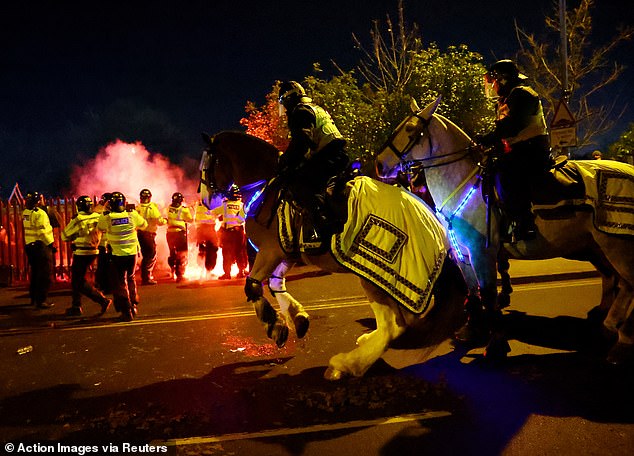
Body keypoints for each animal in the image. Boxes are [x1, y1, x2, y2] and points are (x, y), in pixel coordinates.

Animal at [198, 133, 464, 382]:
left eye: (207, 164)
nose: (205, 200)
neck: (268, 189)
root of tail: (438, 232)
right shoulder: (286, 253)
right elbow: (275, 283)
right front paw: (298, 320)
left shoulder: (270, 251)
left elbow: (253, 286)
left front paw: (276, 328)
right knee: (401, 323)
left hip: (372, 279)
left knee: (393, 326)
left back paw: (345, 365)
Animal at [372, 98, 632, 366]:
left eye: (411, 129)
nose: (379, 164)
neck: (466, 184)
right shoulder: (464, 255)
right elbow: (473, 291)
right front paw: (472, 330)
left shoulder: (483, 253)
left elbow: (488, 295)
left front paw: (496, 344)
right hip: (600, 247)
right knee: (619, 283)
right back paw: (607, 324)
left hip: (616, 247)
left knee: (626, 283)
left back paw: (620, 341)